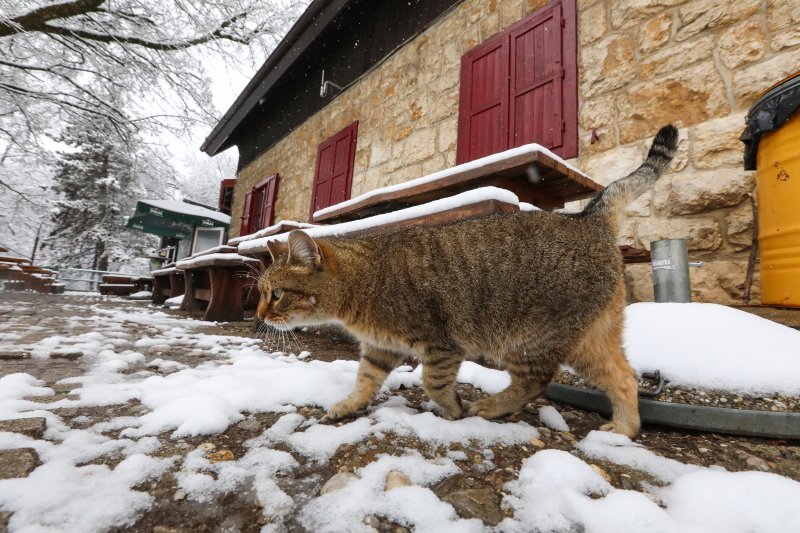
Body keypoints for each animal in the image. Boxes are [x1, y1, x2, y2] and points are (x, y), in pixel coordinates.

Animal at [258, 124, 680, 436]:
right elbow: (364, 381)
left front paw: (452, 410)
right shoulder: (380, 348)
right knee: (624, 377)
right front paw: (347, 406)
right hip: (594, 338)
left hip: (534, 337)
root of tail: (589, 218)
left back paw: (490, 407)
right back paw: (625, 429)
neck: (362, 285)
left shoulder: (439, 342)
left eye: (276, 294)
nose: (260, 315)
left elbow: (434, 381)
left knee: (537, 380)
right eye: (261, 294)